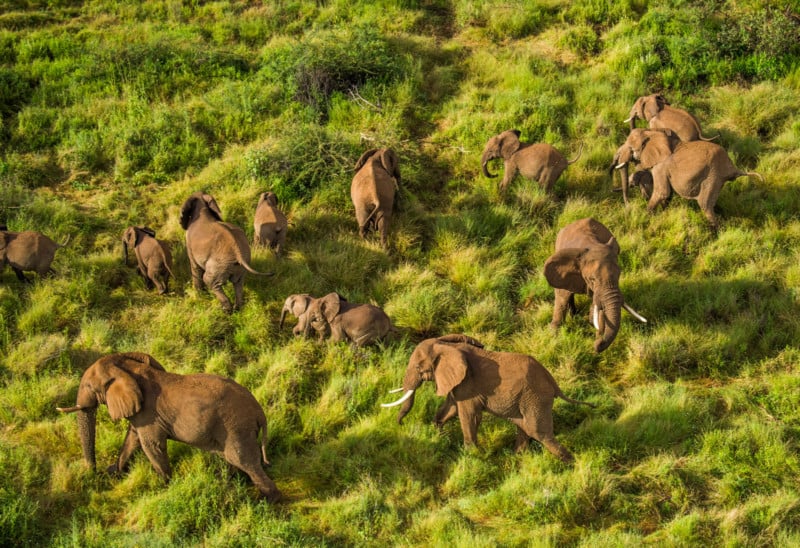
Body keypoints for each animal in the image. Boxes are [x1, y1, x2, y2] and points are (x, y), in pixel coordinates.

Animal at [56, 354, 282, 504]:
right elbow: (133, 438)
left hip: (237, 428)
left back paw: (271, 500)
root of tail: (259, 412)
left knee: (244, 461)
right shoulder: (142, 414)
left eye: (89, 387)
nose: (94, 473)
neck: (128, 369)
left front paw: (164, 486)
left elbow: (151, 445)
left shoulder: (149, 413)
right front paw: (115, 472)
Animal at [382, 334, 592, 462]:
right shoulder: (459, 384)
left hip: (535, 397)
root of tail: (552, 380)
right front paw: (438, 435)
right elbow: (451, 408)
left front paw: (472, 456)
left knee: (537, 431)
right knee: (523, 425)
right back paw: (517, 459)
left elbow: (468, 415)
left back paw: (570, 463)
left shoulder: (469, 383)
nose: (400, 424)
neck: (445, 345)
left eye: (418, 367)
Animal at [544, 216, 648, 354]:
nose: (596, 344)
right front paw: (553, 335)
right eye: (592, 279)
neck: (591, 244)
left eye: (619, 275)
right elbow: (562, 296)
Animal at [624, 140, 764, 230]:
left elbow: (662, 193)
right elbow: (667, 195)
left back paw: (716, 233)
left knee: (705, 205)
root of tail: (731, 166)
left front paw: (647, 216)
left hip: (712, 175)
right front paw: (663, 212)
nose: (630, 184)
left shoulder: (660, 167)